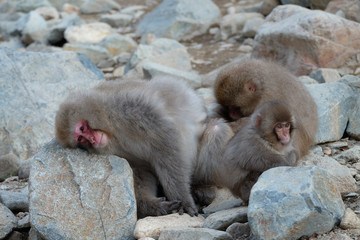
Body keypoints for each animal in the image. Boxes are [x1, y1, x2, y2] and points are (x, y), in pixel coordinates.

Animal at [56, 77, 208, 218]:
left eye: (82, 128)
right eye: (80, 139)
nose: (92, 140)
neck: (112, 131)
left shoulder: (129, 108)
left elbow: (166, 142)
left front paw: (183, 199)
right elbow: (141, 172)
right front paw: (154, 206)